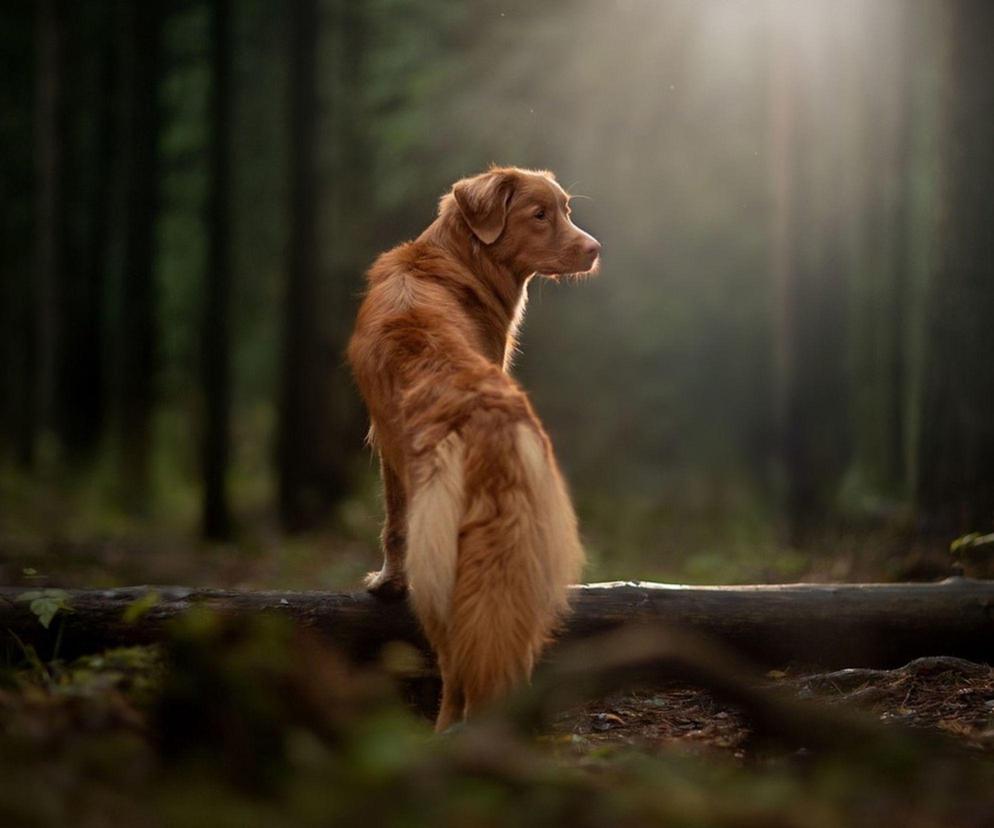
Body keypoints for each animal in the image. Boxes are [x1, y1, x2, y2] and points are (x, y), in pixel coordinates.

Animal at [344, 168, 600, 732]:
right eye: (541, 214)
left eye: (566, 209)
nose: (596, 249)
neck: (454, 258)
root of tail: (492, 423)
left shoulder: (386, 448)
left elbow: (391, 527)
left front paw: (384, 583)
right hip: (522, 563)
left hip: (442, 571)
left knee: (457, 664)